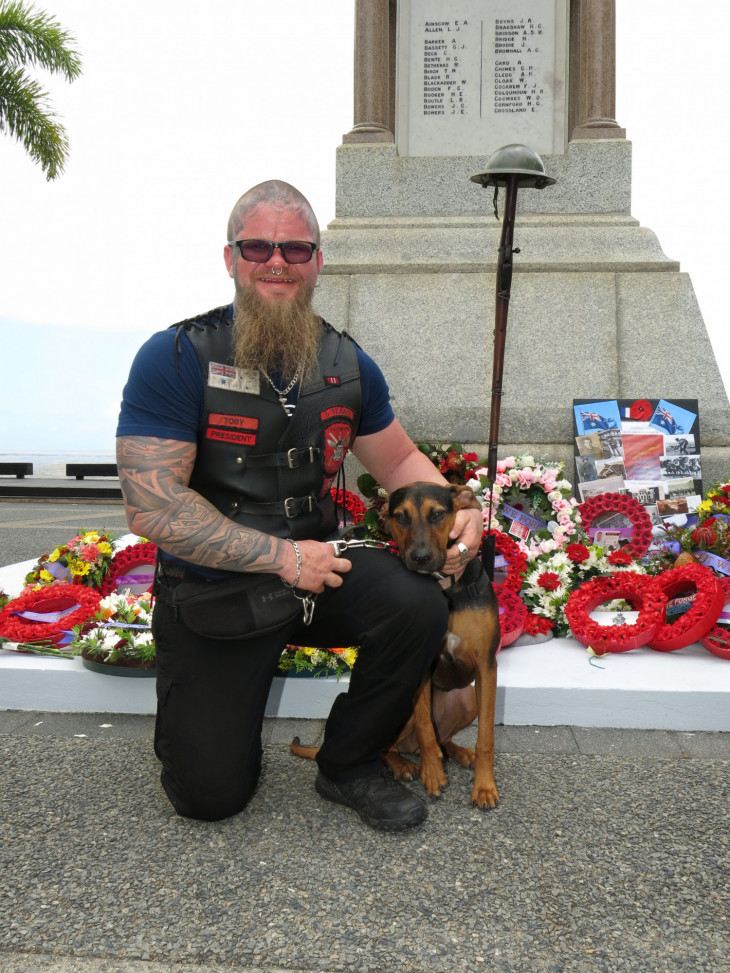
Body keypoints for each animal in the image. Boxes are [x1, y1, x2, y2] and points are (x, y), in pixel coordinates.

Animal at [290, 482, 500, 808]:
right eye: (401, 517)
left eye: (437, 514)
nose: (420, 558)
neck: (446, 589)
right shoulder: (421, 663)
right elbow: (426, 728)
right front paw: (432, 773)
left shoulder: (486, 665)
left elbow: (486, 737)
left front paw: (485, 786)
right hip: (400, 709)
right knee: (389, 747)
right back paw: (404, 765)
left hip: (468, 700)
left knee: (444, 739)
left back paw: (458, 752)